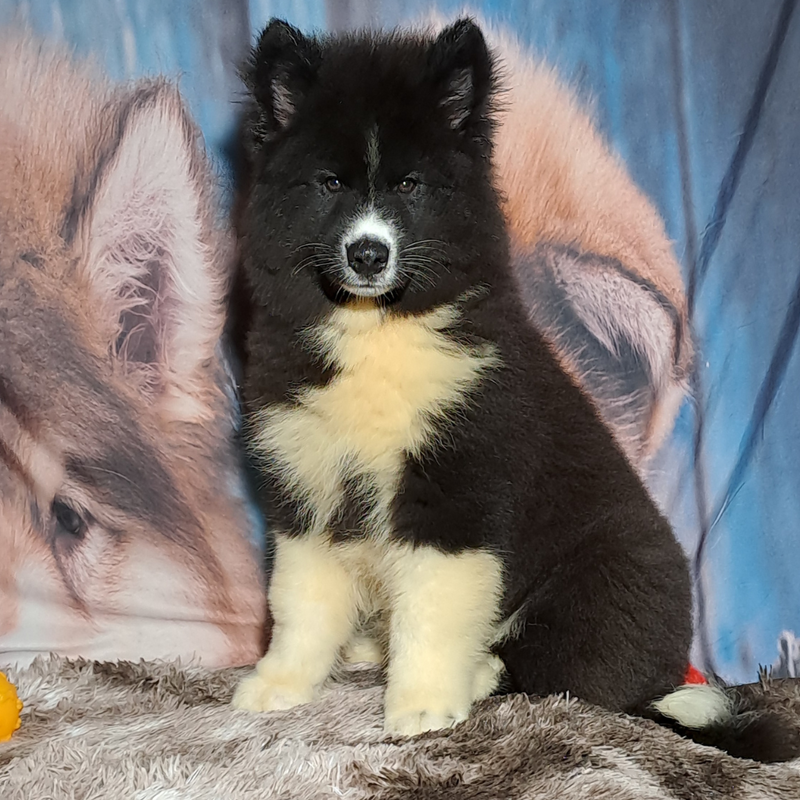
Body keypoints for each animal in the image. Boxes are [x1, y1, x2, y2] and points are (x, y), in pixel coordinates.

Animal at [234, 17, 696, 744]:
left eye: (410, 186)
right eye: (330, 183)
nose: (369, 254)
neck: (378, 332)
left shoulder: (457, 482)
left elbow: (434, 606)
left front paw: (422, 705)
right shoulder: (307, 478)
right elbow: (300, 598)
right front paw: (281, 684)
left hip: (600, 582)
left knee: (567, 668)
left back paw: (474, 673)